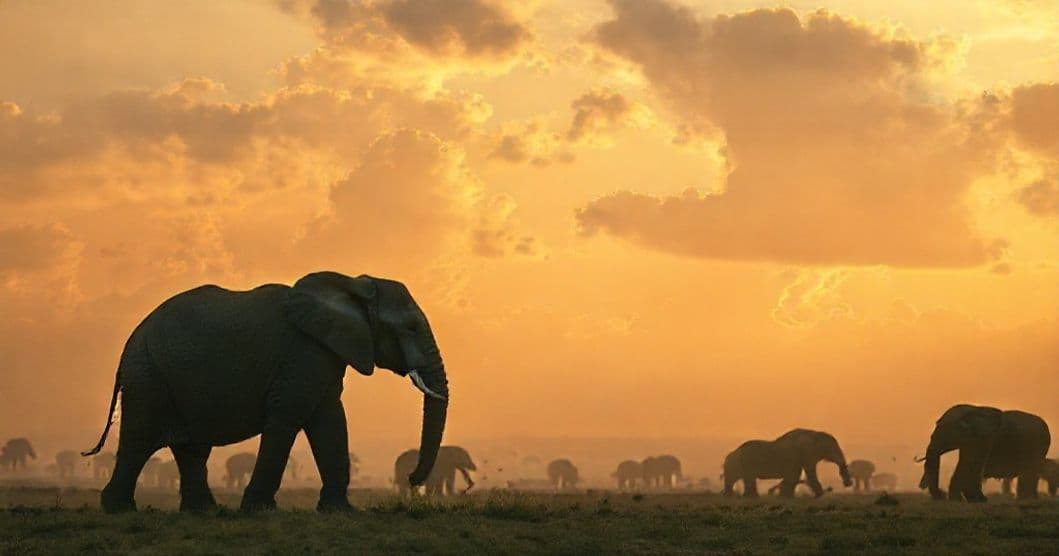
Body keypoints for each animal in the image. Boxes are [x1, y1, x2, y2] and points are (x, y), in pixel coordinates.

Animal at [81, 271, 449, 513]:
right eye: (410, 328)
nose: (412, 478)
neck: (351, 285)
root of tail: (129, 343)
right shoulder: (303, 352)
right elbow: (289, 415)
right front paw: (259, 510)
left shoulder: (323, 353)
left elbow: (329, 419)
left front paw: (340, 512)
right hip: (148, 377)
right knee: (139, 441)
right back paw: (120, 510)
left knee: (191, 448)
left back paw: (204, 513)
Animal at [723, 429, 852, 498]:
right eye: (832, 448)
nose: (847, 483)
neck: (813, 433)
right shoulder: (801, 455)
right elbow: (800, 475)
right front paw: (818, 495)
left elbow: (794, 476)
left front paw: (785, 496)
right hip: (746, 463)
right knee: (745, 479)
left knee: (742, 479)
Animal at [917, 404, 1050, 502]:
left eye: (945, 431)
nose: (941, 494)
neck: (971, 410)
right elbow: (964, 463)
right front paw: (959, 500)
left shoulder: (982, 439)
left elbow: (971, 463)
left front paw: (976, 500)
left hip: (1038, 446)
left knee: (1030, 472)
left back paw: (1028, 499)